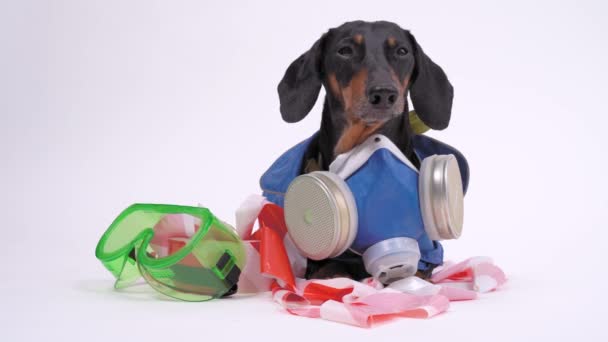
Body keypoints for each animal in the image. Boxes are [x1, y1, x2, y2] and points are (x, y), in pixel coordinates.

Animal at [278, 20, 454, 280]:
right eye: (345, 51)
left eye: (402, 51)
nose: (384, 94)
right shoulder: (318, 262)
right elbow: (330, 269)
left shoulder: (429, 253)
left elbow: (420, 271)